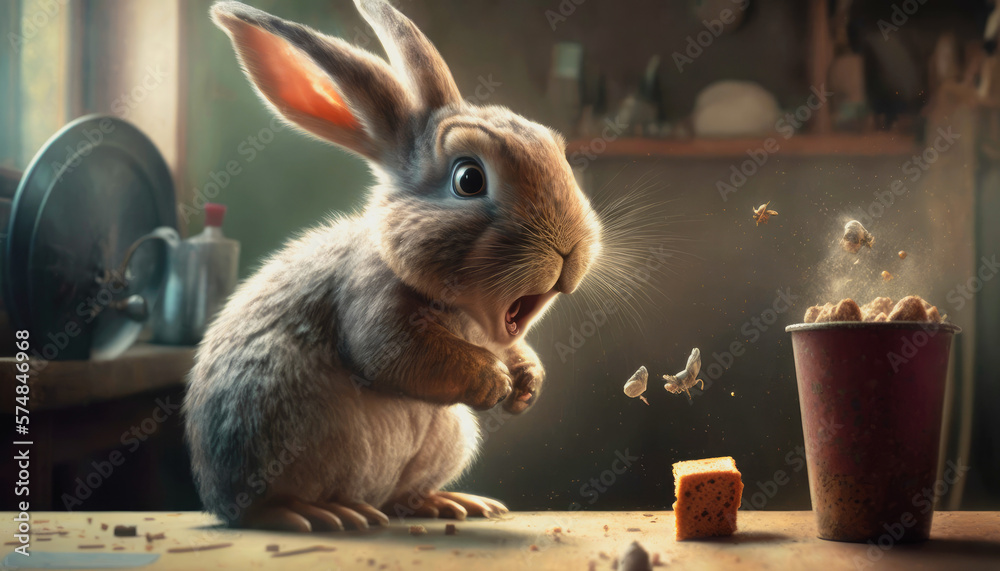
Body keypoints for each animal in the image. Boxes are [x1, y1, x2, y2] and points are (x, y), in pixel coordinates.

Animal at [183, 0, 602, 532]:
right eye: (469, 179)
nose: (570, 247)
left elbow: (515, 350)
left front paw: (527, 387)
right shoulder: (372, 306)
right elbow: (393, 355)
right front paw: (495, 381)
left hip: (447, 438)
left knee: (400, 497)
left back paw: (450, 503)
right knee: (262, 506)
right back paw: (316, 513)